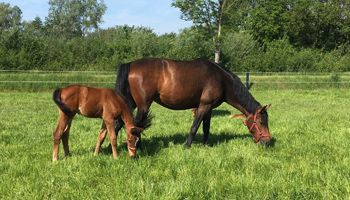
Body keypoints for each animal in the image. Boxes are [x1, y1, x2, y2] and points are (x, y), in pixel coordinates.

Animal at [115, 57, 270, 148]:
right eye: (262, 122)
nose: (267, 142)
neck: (221, 80)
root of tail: (131, 64)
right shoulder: (203, 106)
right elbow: (194, 127)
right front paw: (187, 146)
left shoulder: (209, 108)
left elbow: (206, 128)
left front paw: (206, 145)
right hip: (143, 105)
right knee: (135, 125)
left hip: (130, 103)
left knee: (118, 124)